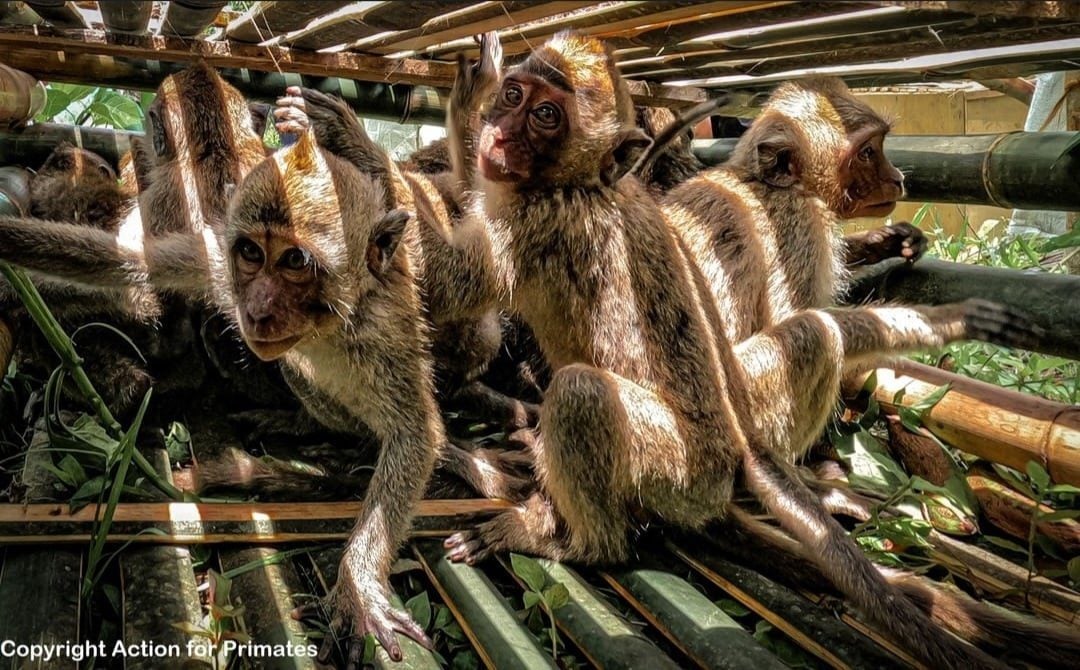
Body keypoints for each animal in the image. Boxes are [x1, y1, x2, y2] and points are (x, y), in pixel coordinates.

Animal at [412, 32, 1054, 670]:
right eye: (514, 97)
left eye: (545, 115)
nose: (498, 133)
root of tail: (721, 477)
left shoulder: (534, 221)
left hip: (676, 470)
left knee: (587, 391)